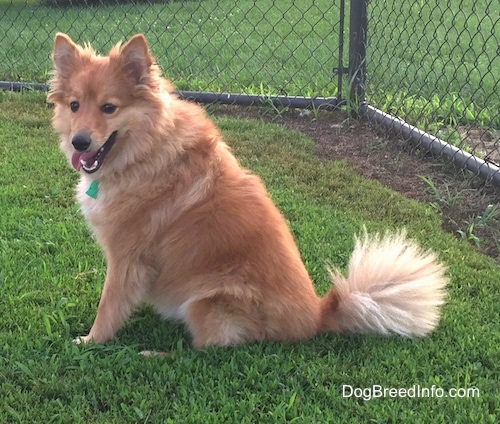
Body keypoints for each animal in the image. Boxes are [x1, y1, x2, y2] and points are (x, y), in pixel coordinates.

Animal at [46, 33, 446, 350]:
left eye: (109, 108)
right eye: (75, 105)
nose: (80, 142)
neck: (146, 151)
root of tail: (317, 316)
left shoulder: (127, 257)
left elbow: (108, 305)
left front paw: (90, 341)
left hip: (206, 302)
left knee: (203, 351)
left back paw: (152, 353)